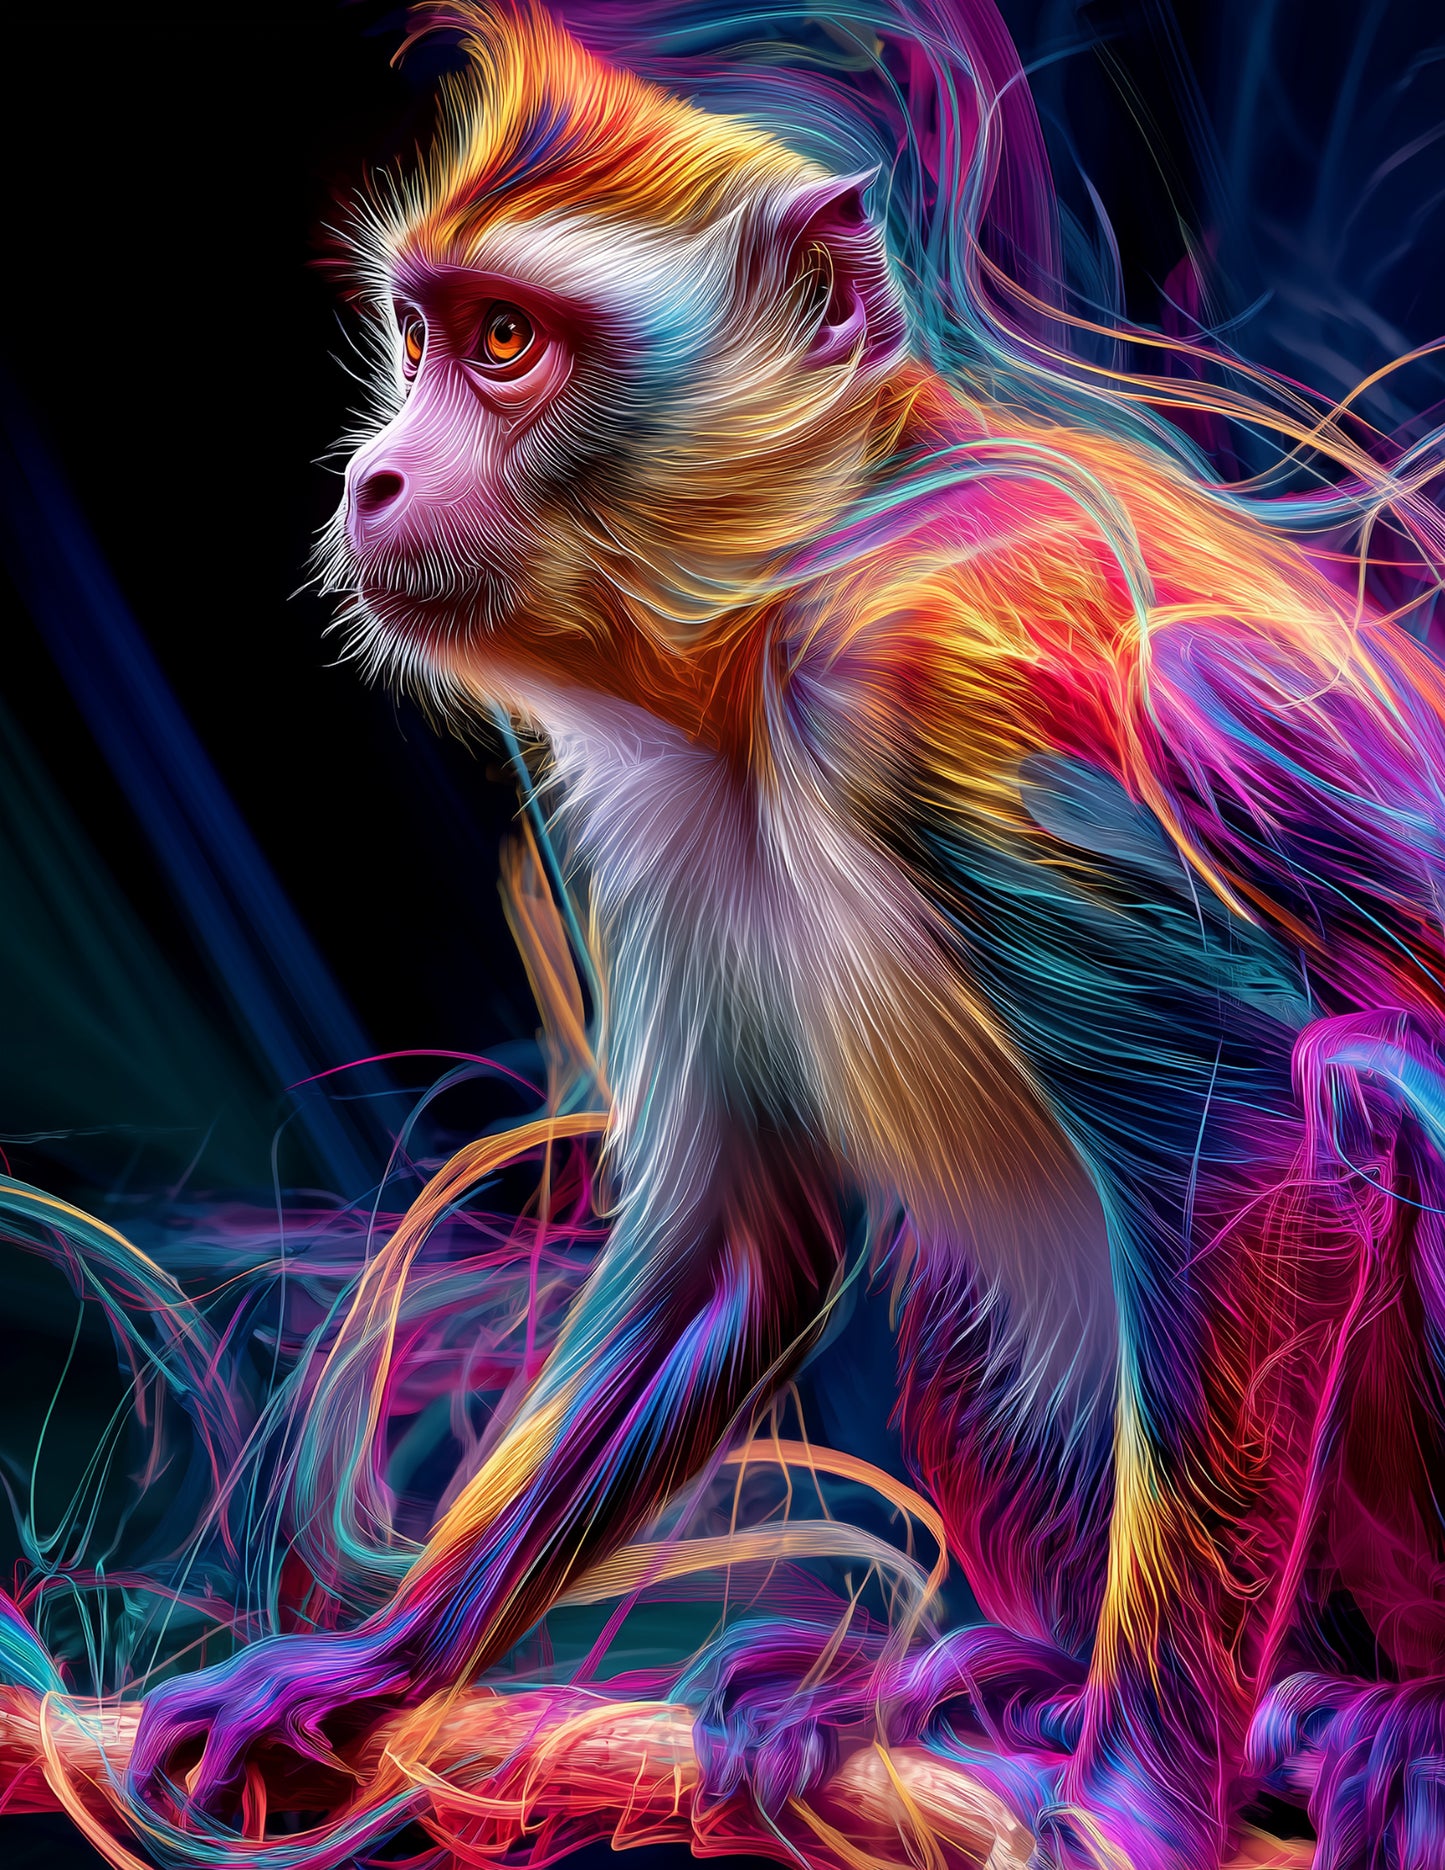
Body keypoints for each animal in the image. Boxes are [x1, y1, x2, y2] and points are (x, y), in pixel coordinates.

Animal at [126, 6, 1445, 1866]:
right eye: (421, 333)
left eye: (507, 344)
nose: (374, 476)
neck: (790, 594)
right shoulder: (651, 791)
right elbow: (739, 1245)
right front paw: (366, 1665)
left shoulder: (933, 684)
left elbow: (1253, 1138)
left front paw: (1132, 1795)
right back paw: (1007, 1674)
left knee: (1366, 1081)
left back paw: (1376, 1711)